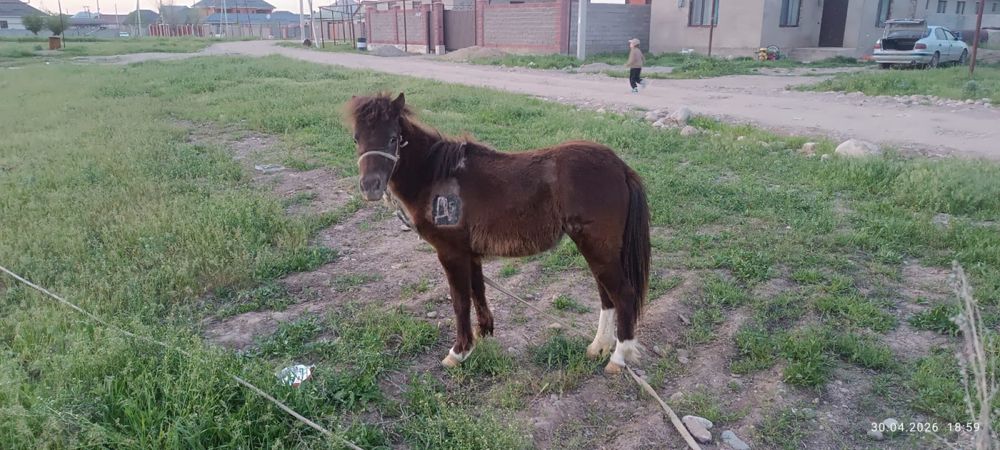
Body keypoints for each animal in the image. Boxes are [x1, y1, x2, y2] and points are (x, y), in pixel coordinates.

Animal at [345, 92, 651, 374]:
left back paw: (617, 359)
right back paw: (598, 347)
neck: (438, 177)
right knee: (606, 295)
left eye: (393, 138)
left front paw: (458, 352)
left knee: (622, 294)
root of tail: (620, 166)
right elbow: (477, 290)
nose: (370, 187)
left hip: (597, 247)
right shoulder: (470, 253)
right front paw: (483, 334)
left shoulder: (451, 253)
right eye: (357, 138)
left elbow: (460, 301)